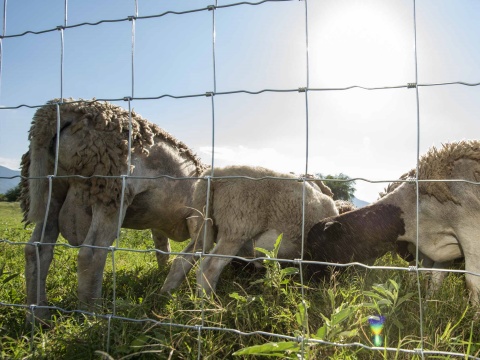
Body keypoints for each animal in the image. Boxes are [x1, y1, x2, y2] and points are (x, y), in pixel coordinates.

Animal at [22, 97, 206, 320]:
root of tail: (59, 109)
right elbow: (186, 255)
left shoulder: (159, 224)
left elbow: (163, 250)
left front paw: (163, 278)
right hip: (111, 188)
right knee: (91, 254)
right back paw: (91, 314)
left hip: (52, 188)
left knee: (36, 250)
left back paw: (39, 315)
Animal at [159, 166, 340, 296]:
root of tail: (214, 175)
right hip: (236, 226)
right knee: (210, 267)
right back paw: (209, 304)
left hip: (204, 222)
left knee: (183, 259)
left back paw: (166, 294)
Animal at [306, 141, 480, 304]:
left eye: (315, 246)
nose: (310, 282)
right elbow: (433, 277)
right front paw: (429, 303)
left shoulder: (470, 235)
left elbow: (472, 285)